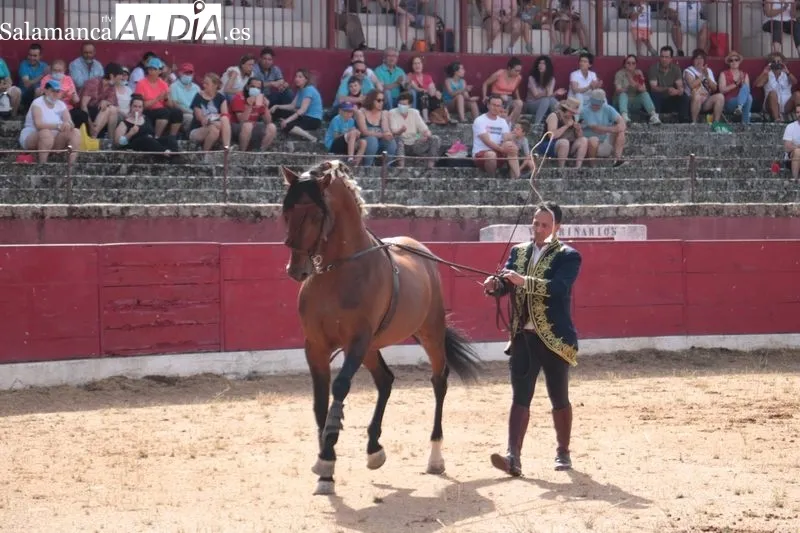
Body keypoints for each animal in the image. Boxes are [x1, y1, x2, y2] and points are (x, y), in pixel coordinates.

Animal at [280, 159, 483, 496]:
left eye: (315, 214)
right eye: (286, 211)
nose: (296, 269)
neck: (338, 271)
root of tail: (422, 251)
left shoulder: (357, 341)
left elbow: (339, 388)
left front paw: (327, 459)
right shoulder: (316, 346)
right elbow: (320, 400)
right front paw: (325, 468)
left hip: (429, 333)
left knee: (439, 381)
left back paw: (435, 457)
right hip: (373, 347)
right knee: (385, 380)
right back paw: (374, 449)